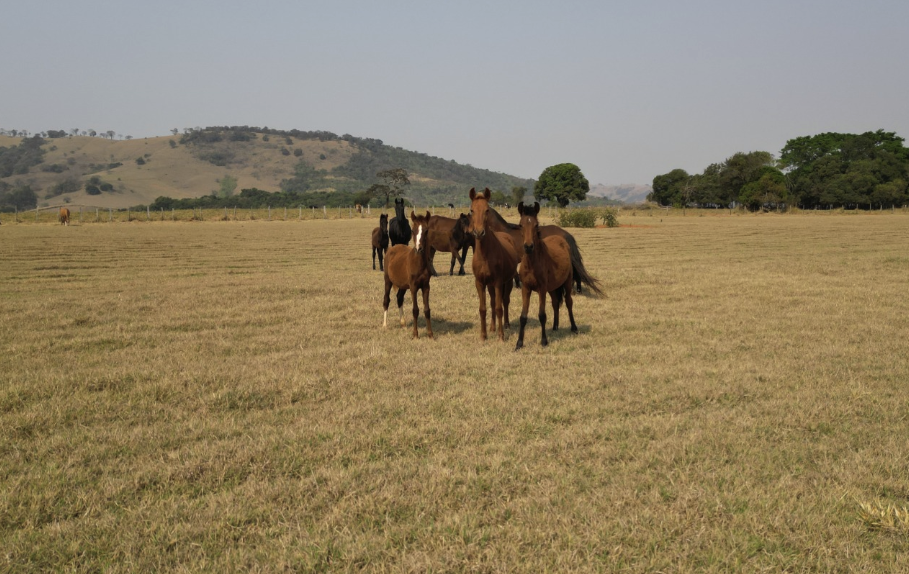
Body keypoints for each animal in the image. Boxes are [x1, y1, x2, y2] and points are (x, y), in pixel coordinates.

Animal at [382, 210, 434, 338]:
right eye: (413, 230)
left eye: (426, 230)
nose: (419, 248)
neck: (418, 263)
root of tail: (392, 248)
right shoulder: (413, 287)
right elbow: (415, 310)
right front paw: (415, 334)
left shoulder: (426, 286)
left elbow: (427, 310)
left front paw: (430, 334)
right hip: (388, 280)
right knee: (386, 299)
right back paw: (384, 325)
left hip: (403, 285)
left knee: (399, 298)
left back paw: (403, 323)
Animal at [468, 189, 516, 342]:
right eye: (471, 210)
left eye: (487, 210)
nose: (478, 232)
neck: (485, 255)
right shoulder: (480, 283)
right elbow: (483, 309)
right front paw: (483, 335)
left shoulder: (499, 282)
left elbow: (499, 308)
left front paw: (501, 336)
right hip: (489, 285)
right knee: (493, 302)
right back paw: (492, 327)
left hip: (508, 281)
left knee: (505, 301)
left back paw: (506, 325)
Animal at [510, 202, 596, 352]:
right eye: (520, 224)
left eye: (536, 225)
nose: (528, 246)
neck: (532, 264)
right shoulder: (526, 288)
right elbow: (523, 317)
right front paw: (519, 343)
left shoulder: (542, 289)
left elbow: (542, 315)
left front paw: (544, 341)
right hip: (552, 288)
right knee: (556, 302)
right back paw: (555, 326)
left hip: (566, 283)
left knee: (568, 302)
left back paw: (574, 328)